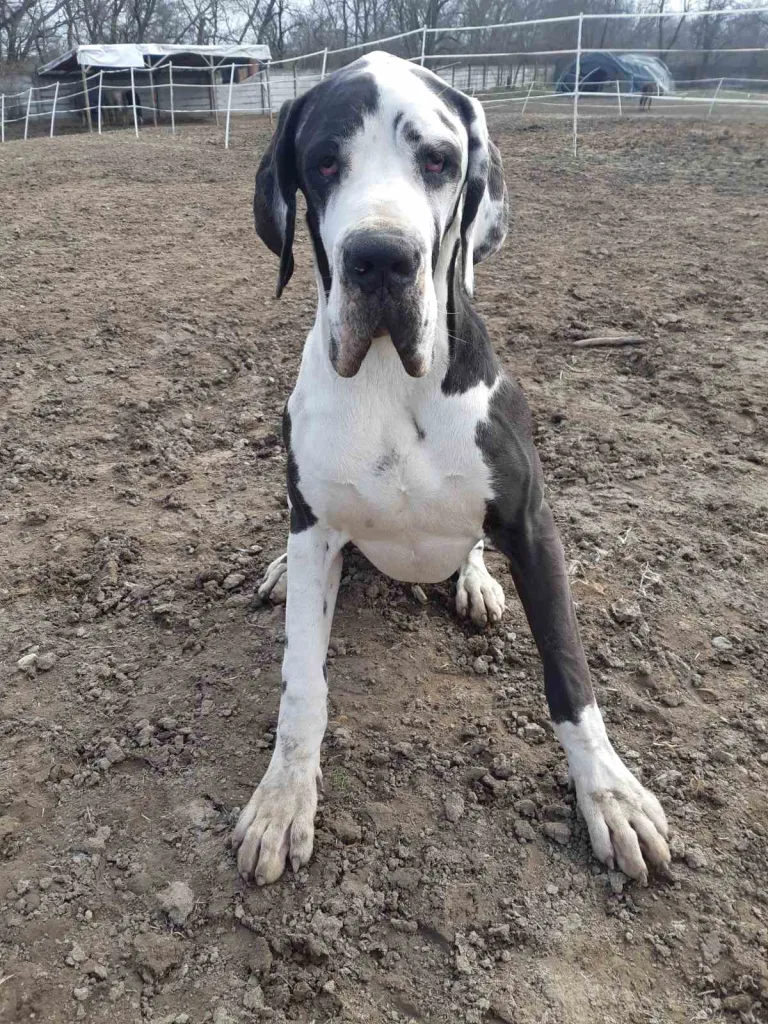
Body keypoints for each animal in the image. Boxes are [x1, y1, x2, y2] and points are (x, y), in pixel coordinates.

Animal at [232, 51, 671, 887]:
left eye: (437, 160)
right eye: (324, 162)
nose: (379, 259)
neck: (387, 379)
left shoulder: (531, 522)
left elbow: (570, 672)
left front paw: (610, 795)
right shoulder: (318, 527)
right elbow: (303, 682)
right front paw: (282, 797)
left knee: (470, 548)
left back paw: (474, 580)